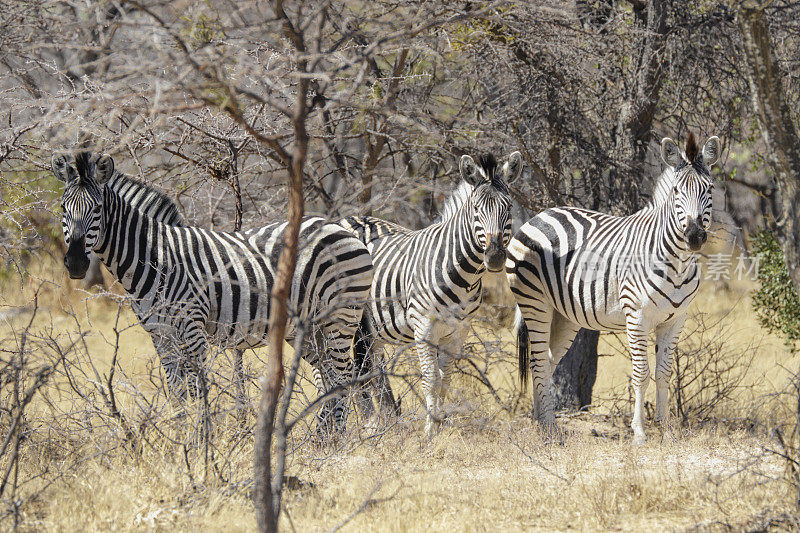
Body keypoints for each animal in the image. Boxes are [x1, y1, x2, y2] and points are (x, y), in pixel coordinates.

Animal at [54, 150, 374, 436]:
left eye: (97, 209)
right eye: (63, 209)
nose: (76, 263)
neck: (156, 256)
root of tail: (339, 226)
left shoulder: (192, 326)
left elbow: (199, 389)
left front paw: (203, 443)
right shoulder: (161, 334)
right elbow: (177, 393)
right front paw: (181, 441)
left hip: (341, 317)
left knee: (344, 374)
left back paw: (336, 437)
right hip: (309, 328)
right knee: (328, 375)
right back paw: (324, 436)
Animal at [342, 152, 520, 434]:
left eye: (509, 208)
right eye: (476, 210)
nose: (494, 257)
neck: (465, 276)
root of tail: (346, 218)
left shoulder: (458, 331)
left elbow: (445, 379)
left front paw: (440, 425)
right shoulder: (424, 327)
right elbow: (430, 378)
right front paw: (429, 430)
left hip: (372, 328)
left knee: (372, 369)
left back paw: (383, 423)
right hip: (349, 319)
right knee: (357, 369)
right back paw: (369, 423)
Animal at [510, 135, 720, 442]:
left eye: (710, 189)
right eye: (677, 191)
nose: (694, 236)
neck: (677, 262)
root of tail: (541, 214)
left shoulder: (675, 320)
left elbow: (664, 373)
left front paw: (666, 431)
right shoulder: (637, 317)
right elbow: (641, 373)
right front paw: (640, 433)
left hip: (564, 314)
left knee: (546, 363)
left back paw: (543, 423)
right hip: (534, 302)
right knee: (537, 362)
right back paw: (549, 429)